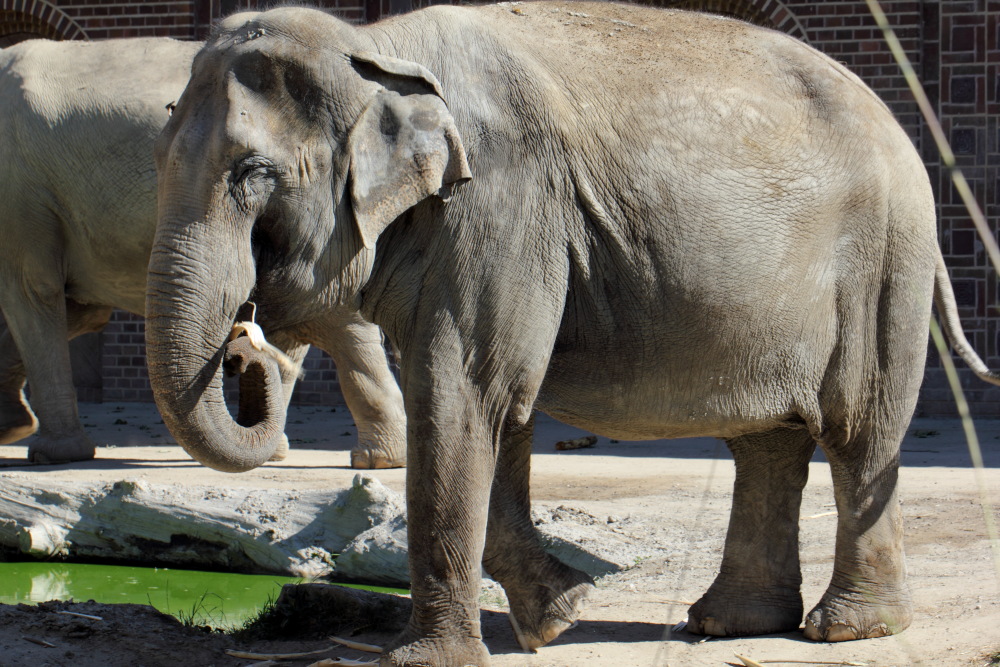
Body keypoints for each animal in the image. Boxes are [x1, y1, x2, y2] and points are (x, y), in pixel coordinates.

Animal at [0, 37, 408, 470]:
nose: (234, 355)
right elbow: (73, 310)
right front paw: (15, 429)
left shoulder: (19, 200)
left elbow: (32, 294)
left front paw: (48, 452)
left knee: (338, 318)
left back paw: (377, 460)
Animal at [146, 2, 1000, 664]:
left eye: (253, 174)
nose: (246, 337)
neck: (375, 45)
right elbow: (497, 404)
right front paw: (563, 613)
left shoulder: (502, 203)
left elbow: (464, 389)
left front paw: (433, 657)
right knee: (767, 442)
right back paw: (727, 622)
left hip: (882, 264)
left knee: (858, 431)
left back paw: (845, 630)